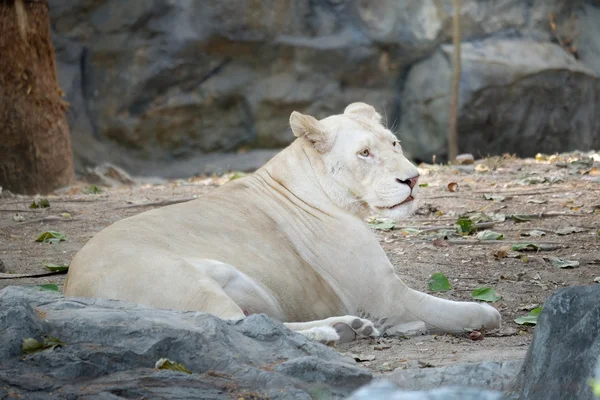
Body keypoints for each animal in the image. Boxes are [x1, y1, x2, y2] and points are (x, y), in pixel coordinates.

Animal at [63, 103, 500, 344]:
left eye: (393, 143)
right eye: (364, 153)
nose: (412, 179)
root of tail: (71, 287)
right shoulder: (386, 297)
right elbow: (454, 310)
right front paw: (483, 315)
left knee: (261, 322)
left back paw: (350, 327)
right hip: (186, 282)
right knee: (233, 326)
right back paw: (335, 333)